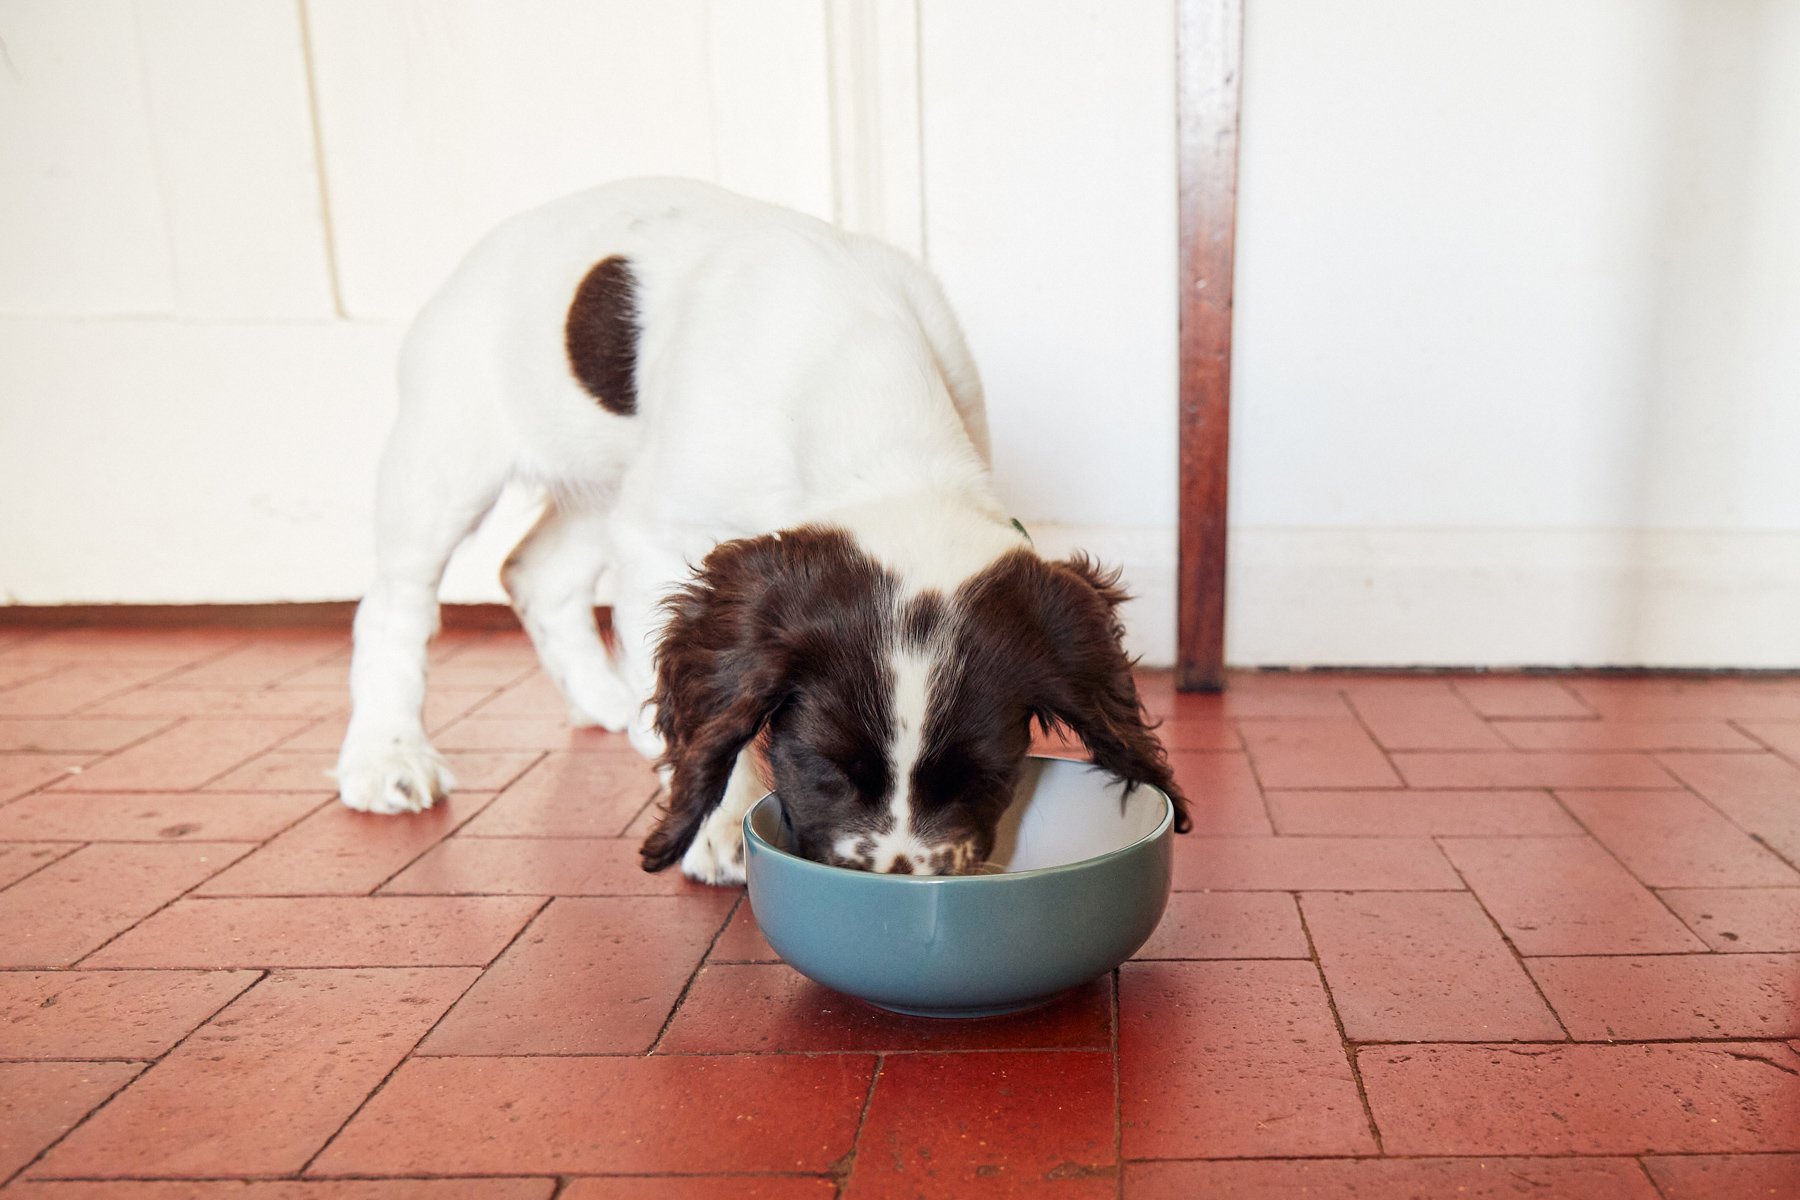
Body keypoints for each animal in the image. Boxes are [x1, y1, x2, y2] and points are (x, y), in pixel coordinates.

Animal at [336, 176, 1188, 881]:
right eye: (822, 767)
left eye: (985, 776)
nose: (899, 880)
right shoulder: (664, 534)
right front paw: (714, 826)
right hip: (449, 452)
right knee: (396, 600)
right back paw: (385, 756)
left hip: (601, 483)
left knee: (531, 571)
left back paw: (615, 704)